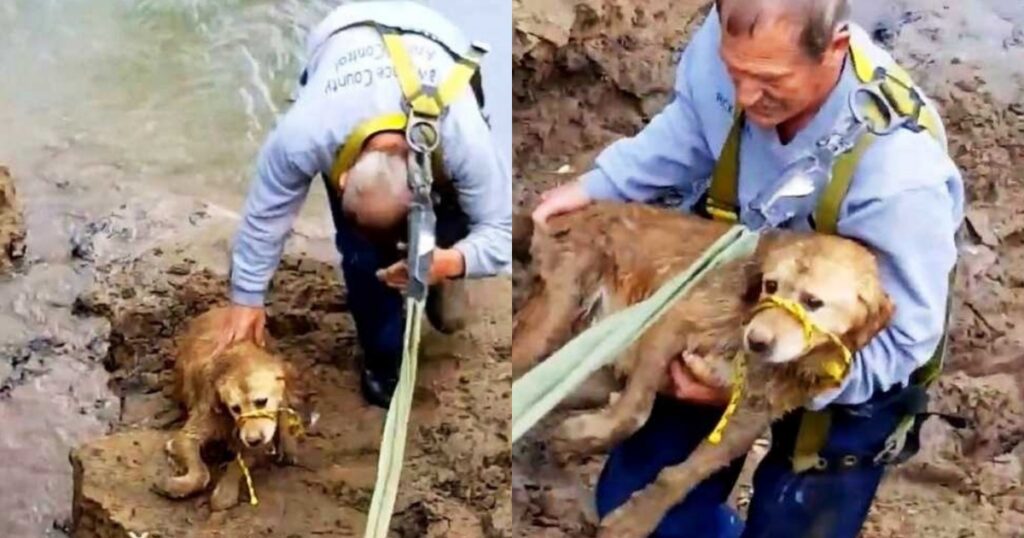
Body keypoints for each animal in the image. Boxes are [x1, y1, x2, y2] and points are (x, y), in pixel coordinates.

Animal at [149, 305, 305, 512]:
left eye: (261, 401)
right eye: (235, 408)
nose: (253, 440)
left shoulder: (258, 444)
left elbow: (237, 465)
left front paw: (225, 493)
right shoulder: (189, 434)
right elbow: (201, 473)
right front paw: (173, 485)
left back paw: (288, 446)